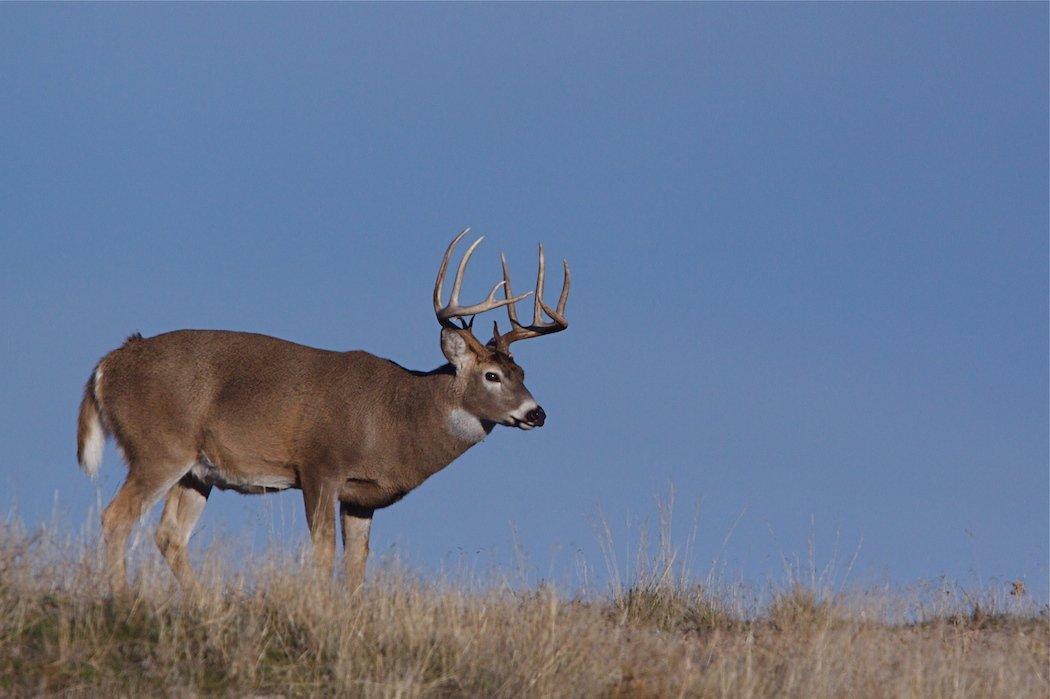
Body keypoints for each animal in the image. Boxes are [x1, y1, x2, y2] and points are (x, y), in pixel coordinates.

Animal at [75, 230, 571, 591]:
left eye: (522, 371)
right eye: (491, 376)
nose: (537, 413)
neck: (396, 417)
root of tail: (107, 365)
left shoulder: (361, 495)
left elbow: (356, 566)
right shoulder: (319, 466)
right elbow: (322, 554)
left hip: (197, 471)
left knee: (170, 536)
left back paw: (202, 606)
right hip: (159, 447)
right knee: (117, 518)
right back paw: (124, 600)